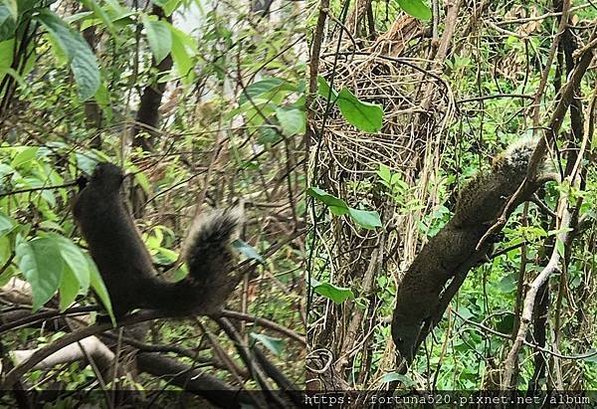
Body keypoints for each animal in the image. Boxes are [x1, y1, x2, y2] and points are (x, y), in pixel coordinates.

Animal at [73, 163, 242, 318]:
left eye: (99, 166)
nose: (94, 166)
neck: (108, 190)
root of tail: (145, 286)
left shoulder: (86, 198)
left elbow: (76, 209)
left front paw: (81, 181)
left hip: (105, 286)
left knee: (119, 310)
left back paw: (105, 318)